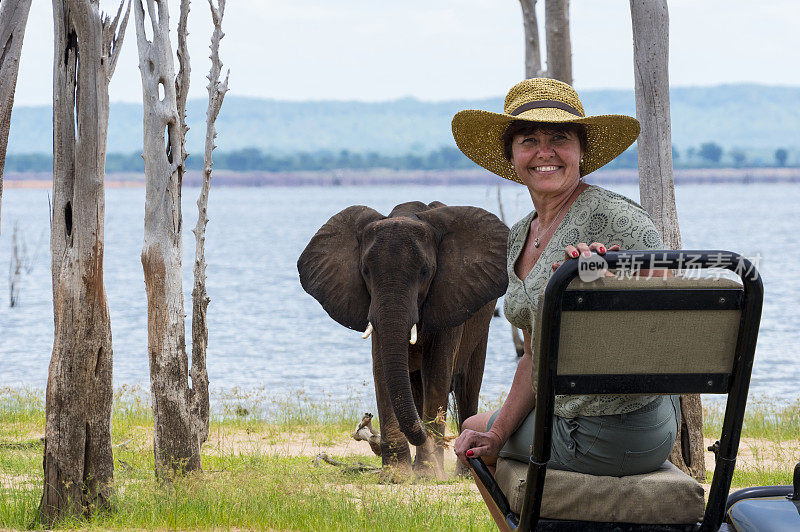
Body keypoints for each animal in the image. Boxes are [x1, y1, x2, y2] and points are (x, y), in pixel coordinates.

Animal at [296, 200, 510, 478]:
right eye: (365, 271)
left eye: (426, 271)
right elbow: (381, 369)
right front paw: (395, 477)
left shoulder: (450, 296)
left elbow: (437, 371)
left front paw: (429, 476)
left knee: (467, 386)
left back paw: (461, 473)